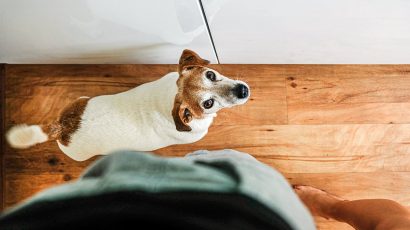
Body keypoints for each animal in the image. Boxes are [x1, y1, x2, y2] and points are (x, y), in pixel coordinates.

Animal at [6, 49, 250, 161]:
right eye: (208, 103)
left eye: (210, 74)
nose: (243, 90)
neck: (172, 97)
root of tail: (61, 128)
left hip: (80, 99)